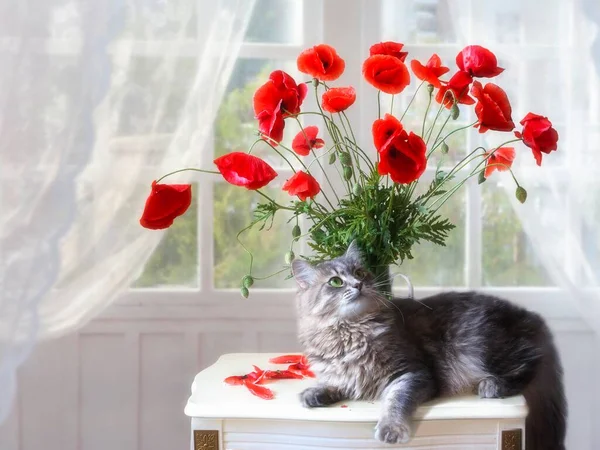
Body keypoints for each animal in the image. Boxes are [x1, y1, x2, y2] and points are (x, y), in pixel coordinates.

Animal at [292, 244, 564, 448]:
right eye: (335, 282)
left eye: (359, 272)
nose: (358, 285)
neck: (350, 333)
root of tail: (530, 316)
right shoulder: (347, 376)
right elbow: (335, 383)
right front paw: (314, 393)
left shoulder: (412, 373)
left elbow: (395, 402)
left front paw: (391, 428)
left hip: (481, 345)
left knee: (531, 364)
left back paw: (492, 385)